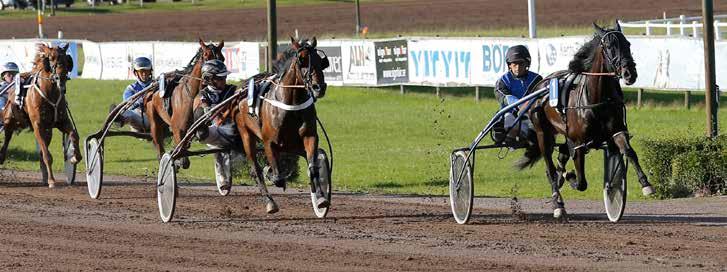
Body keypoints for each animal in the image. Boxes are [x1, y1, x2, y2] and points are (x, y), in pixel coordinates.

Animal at [0, 43, 82, 188]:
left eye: (66, 59)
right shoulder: (38, 126)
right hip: (9, 121)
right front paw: (52, 180)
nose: (61, 78)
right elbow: (47, 155)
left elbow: (74, 135)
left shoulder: (62, 122)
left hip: (48, 130)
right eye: (51, 58)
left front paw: (73, 157)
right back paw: (2, 157)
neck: (50, 93)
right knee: (7, 139)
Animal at [145, 38, 225, 168]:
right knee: (159, 144)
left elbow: (201, 133)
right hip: (154, 121)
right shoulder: (178, 128)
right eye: (206, 56)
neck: (192, 95)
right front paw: (177, 159)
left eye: (222, 58)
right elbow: (184, 160)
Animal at [235, 37, 328, 214]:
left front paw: (320, 199)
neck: (291, 104)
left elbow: (313, 167)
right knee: (255, 169)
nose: (319, 87)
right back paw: (270, 202)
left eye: (321, 61)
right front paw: (273, 175)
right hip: (246, 134)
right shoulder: (269, 142)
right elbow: (276, 177)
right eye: (302, 59)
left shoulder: (309, 136)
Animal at [516, 22, 656, 219]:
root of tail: (540, 85)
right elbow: (581, 182)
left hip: (565, 135)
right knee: (549, 167)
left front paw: (646, 185)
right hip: (543, 134)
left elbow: (629, 152)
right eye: (609, 46)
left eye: (628, 44)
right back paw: (558, 203)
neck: (597, 98)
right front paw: (570, 177)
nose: (630, 73)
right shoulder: (579, 144)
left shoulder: (616, 131)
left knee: (561, 155)